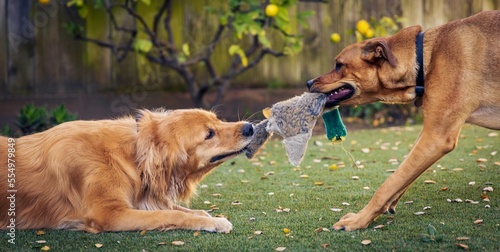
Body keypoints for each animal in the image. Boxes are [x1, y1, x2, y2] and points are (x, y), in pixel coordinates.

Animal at [0, 109, 254, 233]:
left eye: (218, 120)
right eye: (209, 134)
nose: (250, 127)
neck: (133, 154)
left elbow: (180, 210)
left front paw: (206, 216)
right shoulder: (110, 213)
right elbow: (172, 214)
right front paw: (215, 223)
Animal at [306, 10, 498, 230]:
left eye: (339, 65)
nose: (308, 82)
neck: (424, 57)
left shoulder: (437, 137)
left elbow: (391, 181)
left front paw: (360, 219)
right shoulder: (429, 133)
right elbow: (403, 173)